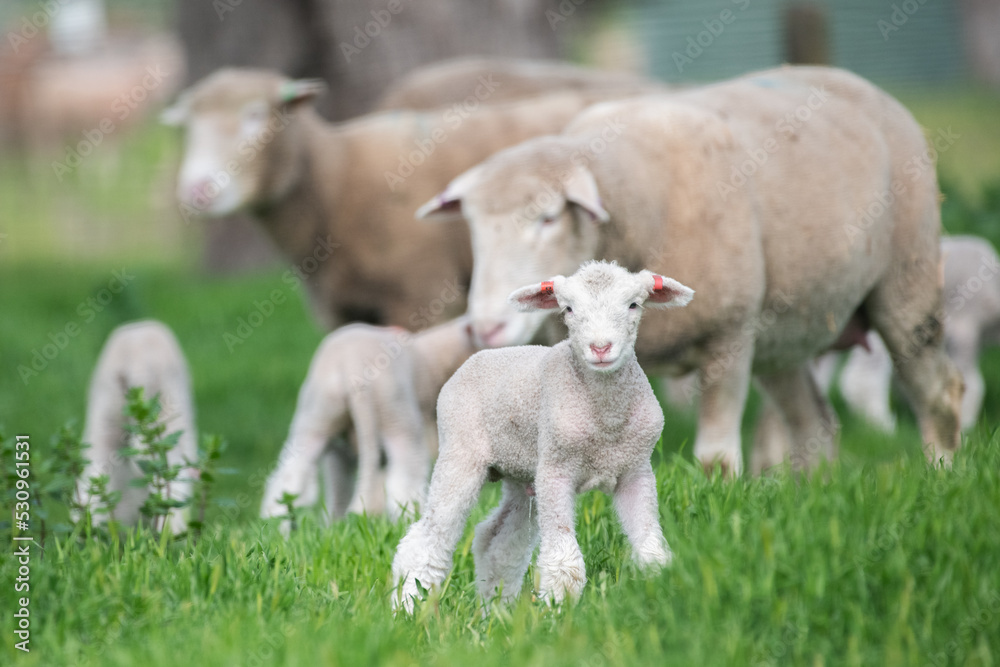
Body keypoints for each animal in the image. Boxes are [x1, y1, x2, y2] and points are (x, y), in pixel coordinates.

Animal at [162, 69, 648, 331]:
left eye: (255, 116)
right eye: (187, 127)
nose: (195, 190)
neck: (336, 182)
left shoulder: (421, 296)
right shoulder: (344, 313)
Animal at [260, 316, 477, 529]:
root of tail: (351, 365)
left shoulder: (340, 454)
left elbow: (340, 486)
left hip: (316, 415)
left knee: (292, 477)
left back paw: (280, 527)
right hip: (397, 417)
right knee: (404, 480)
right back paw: (408, 520)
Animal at [392, 261, 691, 612]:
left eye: (633, 305)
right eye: (569, 309)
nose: (600, 348)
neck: (606, 421)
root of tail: (479, 357)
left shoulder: (636, 469)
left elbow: (651, 549)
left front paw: (659, 591)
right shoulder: (555, 469)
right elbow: (564, 562)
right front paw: (558, 612)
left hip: (521, 473)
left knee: (498, 540)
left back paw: (495, 610)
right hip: (459, 452)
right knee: (427, 538)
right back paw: (408, 605)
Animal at [417, 65, 963, 476]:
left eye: (548, 217)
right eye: (471, 224)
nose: (486, 328)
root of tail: (857, 81)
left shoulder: (729, 336)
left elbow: (716, 459)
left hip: (905, 283)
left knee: (939, 393)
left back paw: (942, 475)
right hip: (782, 336)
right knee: (816, 425)